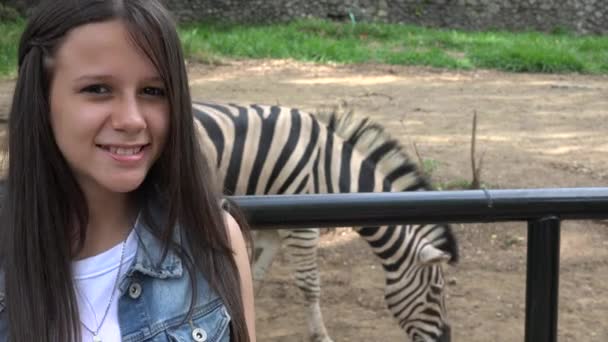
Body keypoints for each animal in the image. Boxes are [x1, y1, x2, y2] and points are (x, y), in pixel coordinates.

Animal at [192, 101, 458, 342]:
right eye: (436, 291)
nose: (446, 340)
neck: (330, 168)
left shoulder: (273, 230)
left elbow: (254, 274)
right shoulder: (301, 227)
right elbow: (309, 283)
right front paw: (320, 335)